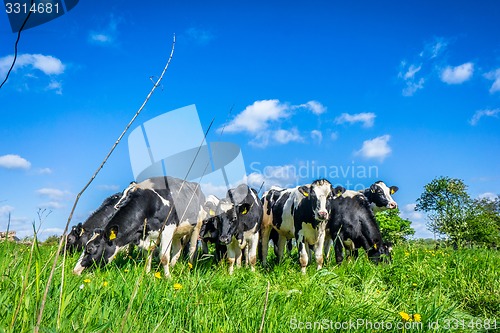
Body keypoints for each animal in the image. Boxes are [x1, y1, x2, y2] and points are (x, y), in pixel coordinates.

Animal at [73, 176, 205, 278]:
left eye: (90, 249)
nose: (74, 271)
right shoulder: (148, 234)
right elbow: (148, 255)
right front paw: (147, 274)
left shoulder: (168, 228)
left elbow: (163, 256)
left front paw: (168, 278)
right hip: (178, 232)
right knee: (177, 250)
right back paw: (173, 267)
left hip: (197, 225)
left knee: (192, 249)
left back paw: (189, 268)